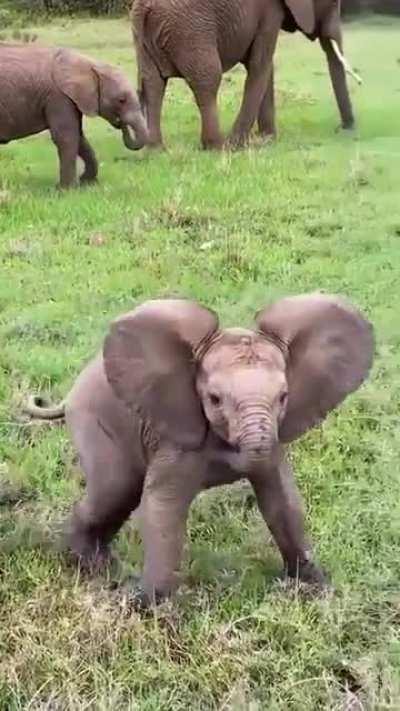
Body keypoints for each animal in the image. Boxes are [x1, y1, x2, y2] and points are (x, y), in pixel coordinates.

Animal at [0, 43, 149, 188]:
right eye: (121, 100)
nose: (120, 124)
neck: (90, 65)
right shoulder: (58, 97)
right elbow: (66, 137)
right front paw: (66, 189)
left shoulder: (72, 100)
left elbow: (79, 136)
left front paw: (86, 182)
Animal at [25, 293, 374, 607]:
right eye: (215, 399)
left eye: (283, 397)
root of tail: (69, 392)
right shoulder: (177, 437)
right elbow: (163, 506)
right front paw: (155, 611)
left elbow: (283, 500)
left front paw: (316, 590)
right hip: (95, 419)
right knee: (115, 491)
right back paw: (94, 567)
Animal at [131, 0, 360, 149]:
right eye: (333, 4)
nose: (342, 129)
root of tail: (145, 8)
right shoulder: (269, 12)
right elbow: (261, 63)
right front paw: (239, 144)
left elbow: (263, 66)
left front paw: (267, 139)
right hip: (191, 31)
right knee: (208, 80)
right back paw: (217, 146)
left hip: (145, 39)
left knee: (153, 84)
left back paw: (155, 149)